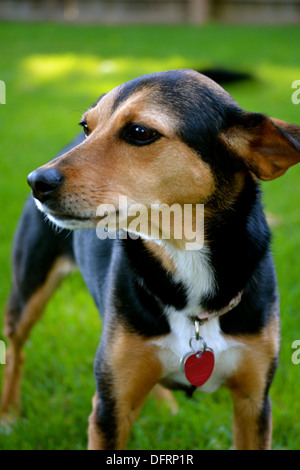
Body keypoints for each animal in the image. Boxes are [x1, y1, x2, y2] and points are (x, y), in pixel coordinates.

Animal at [1, 69, 300, 448]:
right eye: (87, 127)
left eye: (140, 132)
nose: (36, 181)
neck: (183, 252)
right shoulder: (110, 408)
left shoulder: (254, 401)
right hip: (29, 288)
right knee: (16, 349)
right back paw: (8, 416)